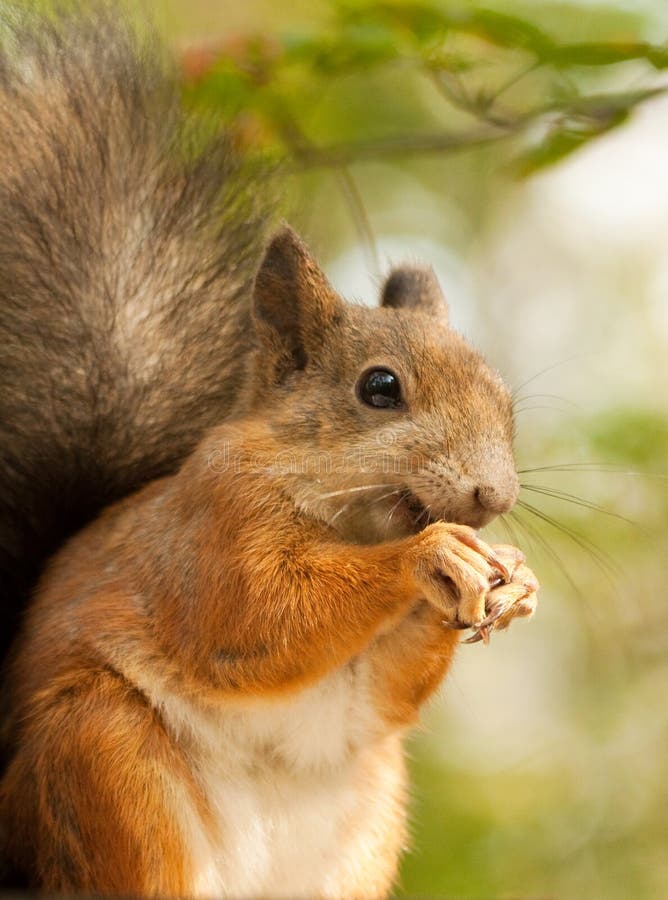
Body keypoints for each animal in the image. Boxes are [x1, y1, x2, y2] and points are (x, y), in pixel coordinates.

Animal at [0, 6, 539, 898]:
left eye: (502, 397)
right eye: (380, 388)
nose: (492, 498)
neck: (351, 520)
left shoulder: (371, 692)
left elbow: (386, 693)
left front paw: (515, 577)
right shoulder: (215, 524)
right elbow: (262, 619)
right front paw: (430, 556)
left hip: (364, 824)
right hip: (104, 756)